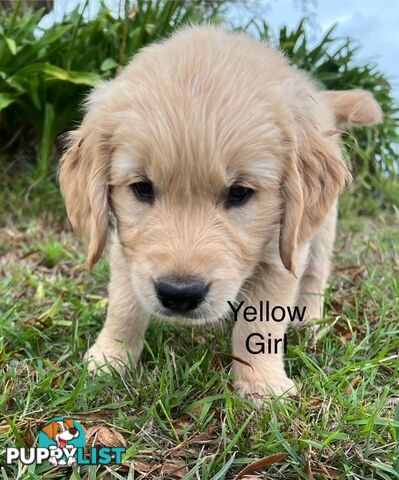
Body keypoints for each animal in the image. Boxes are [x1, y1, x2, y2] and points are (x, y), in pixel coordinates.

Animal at [58, 25, 382, 402]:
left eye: (239, 192)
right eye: (142, 188)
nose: (179, 294)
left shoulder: (279, 253)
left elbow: (261, 323)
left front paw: (262, 384)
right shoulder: (129, 247)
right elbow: (124, 303)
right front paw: (110, 357)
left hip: (318, 227)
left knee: (316, 273)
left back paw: (309, 320)